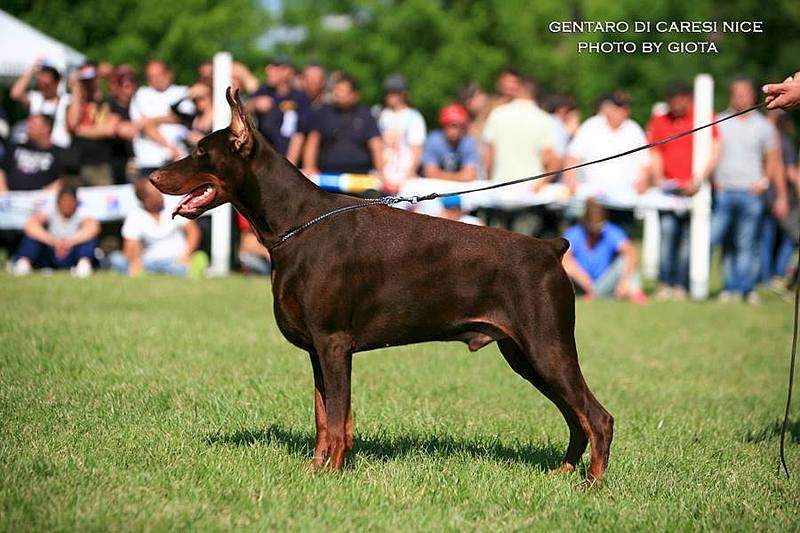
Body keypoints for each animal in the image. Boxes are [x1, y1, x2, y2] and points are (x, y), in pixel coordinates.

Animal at [148, 89, 612, 484]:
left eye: (200, 151)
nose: (153, 177)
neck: (296, 223)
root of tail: (551, 247)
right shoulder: (318, 349)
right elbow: (324, 416)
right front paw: (316, 468)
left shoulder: (334, 342)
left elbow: (337, 417)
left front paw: (332, 473)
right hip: (523, 355)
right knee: (576, 418)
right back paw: (563, 474)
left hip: (546, 346)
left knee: (597, 417)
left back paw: (592, 485)